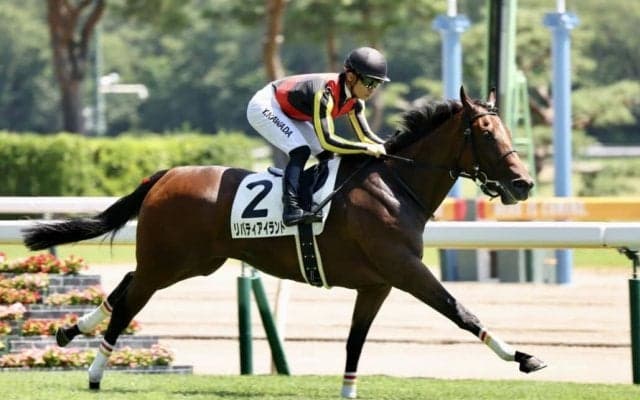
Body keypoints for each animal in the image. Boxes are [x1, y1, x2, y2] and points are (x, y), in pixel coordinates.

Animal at [23, 86, 545, 398]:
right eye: (484, 131)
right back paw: (95, 370)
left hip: (192, 261)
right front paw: (522, 357)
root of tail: (166, 174)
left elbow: (356, 339)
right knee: (132, 298)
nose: (523, 184)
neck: (395, 184)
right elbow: (460, 311)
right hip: (170, 261)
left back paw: (71, 330)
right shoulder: (404, 268)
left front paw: (348, 390)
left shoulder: (377, 283)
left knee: (126, 284)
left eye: (506, 128)